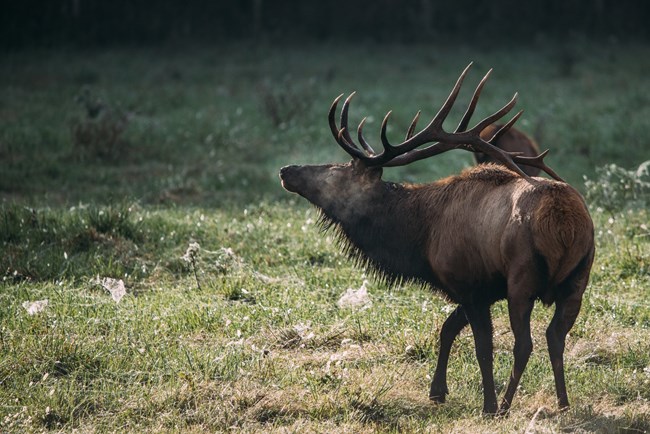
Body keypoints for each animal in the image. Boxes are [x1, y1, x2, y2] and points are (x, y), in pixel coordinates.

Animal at [278, 63, 592, 414]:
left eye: (336, 172)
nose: (287, 170)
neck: (421, 238)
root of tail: (566, 224)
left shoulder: (468, 282)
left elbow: (482, 347)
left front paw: (487, 404)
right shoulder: (484, 288)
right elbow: (447, 329)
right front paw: (437, 391)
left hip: (522, 279)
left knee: (525, 344)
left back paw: (505, 405)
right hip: (579, 277)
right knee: (556, 337)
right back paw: (563, 403)